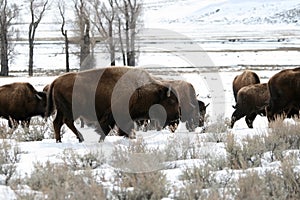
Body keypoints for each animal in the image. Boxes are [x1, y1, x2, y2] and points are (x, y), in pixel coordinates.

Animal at [45, 67, 179, 142]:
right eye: (171, 101)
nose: (177, 119)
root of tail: (55, 81)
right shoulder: (115, 115)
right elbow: (107, 128)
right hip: (72, 110)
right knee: (67, 122)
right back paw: (80, 138)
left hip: (62, 110)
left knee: (58, 123)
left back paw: (60, 140)